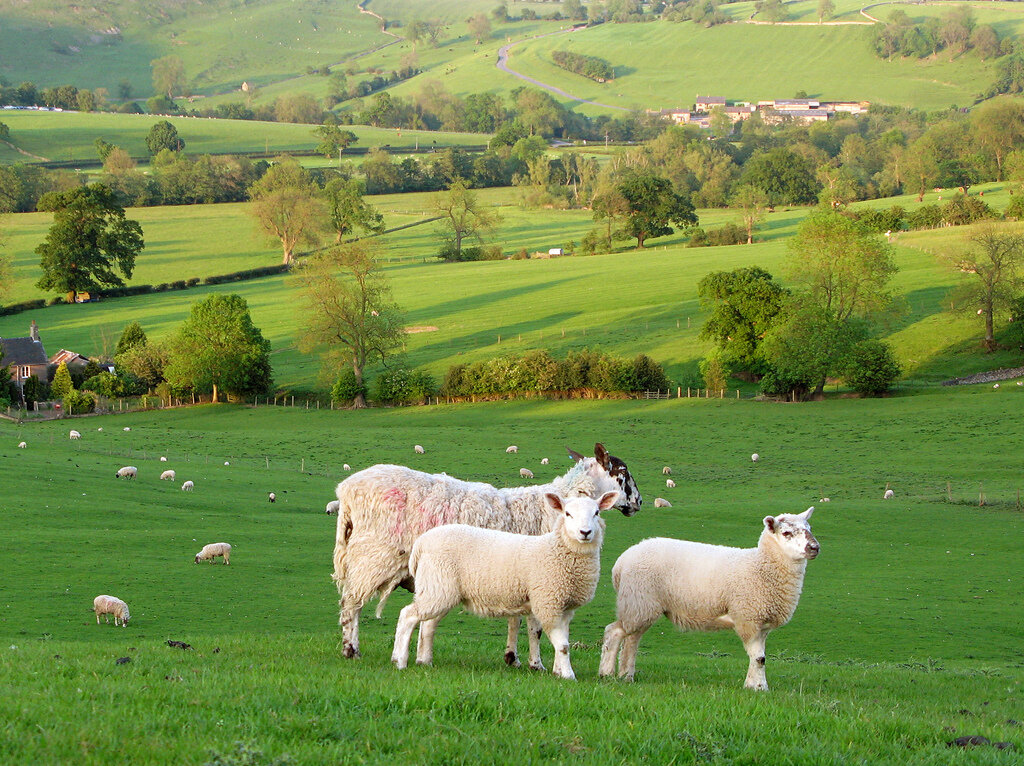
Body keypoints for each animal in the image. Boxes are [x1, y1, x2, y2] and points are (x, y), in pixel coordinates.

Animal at [391, 491, 614, 675]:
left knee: (428, 624)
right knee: (408, 615)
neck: (558, 550)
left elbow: (561, 640)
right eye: (568, 514)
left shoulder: (565, 607)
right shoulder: (548, 602)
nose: (585, 532)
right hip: (438, 586)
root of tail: (422, 543)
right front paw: (568, 675)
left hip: (440, 588)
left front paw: (558, 671)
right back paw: (399, 660)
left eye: (596, 513)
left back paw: (425, 661)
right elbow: (562, 645)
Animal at [598, 505, 815, 692]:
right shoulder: (748, 618)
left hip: (640, 605)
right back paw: (606, 674)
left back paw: (626, 676)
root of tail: (620, 563)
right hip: (638, 600)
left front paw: (753, 685)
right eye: (786, 533)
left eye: (809, 529)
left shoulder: (761, 625)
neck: (761, 566)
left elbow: (759, 658)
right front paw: (759, 688)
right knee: (614, 632)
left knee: (632, 639)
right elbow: (759, 658)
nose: (815, 547)